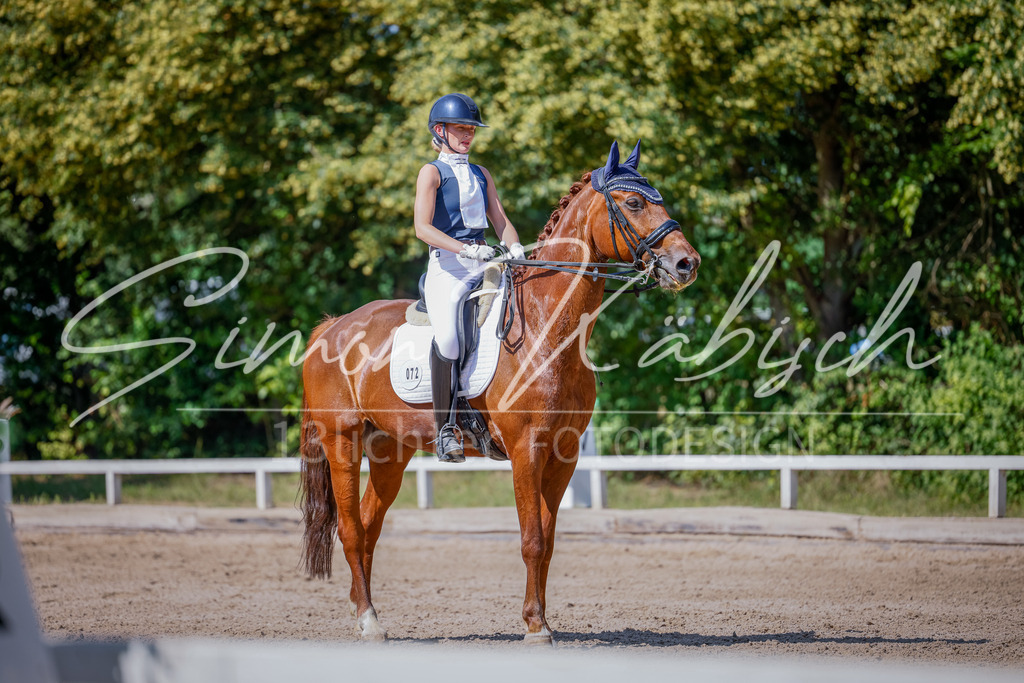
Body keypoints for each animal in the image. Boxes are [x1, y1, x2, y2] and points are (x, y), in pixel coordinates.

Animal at [299, 140, 700, 644]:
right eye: (633, 204)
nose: (687, 264)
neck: (549, 329)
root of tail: (332, 327)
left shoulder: (563, 453)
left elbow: (548, 541)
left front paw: (542, 619)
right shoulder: (527, 448)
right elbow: (531, 539)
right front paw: (535, 627)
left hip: (391, 448)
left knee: (369, 526)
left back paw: (366, 613)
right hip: (342, 441)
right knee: (351, 530)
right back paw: (369, 621)